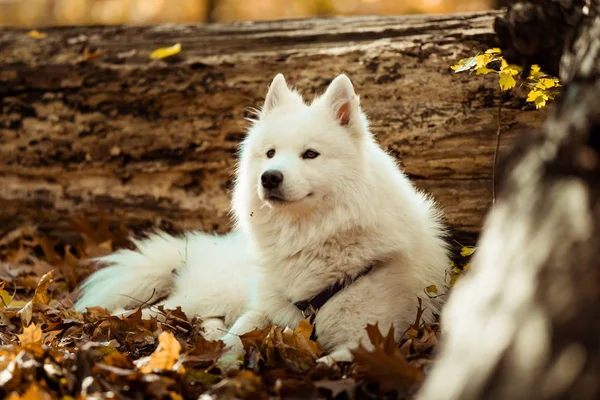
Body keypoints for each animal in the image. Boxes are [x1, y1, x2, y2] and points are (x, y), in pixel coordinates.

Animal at [75, 73, 448, 364]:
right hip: (216, 292)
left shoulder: (369, 340)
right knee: (160, 307)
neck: (309, 239)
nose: (269, 177)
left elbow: (324, 363)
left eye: (310, 154)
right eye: (270, 153)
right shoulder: (264, 308)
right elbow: (236, 337)